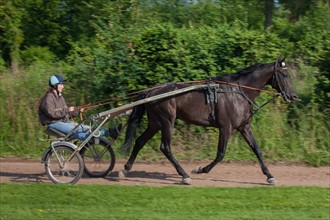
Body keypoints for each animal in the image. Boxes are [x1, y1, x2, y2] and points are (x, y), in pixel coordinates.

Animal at [120, 56, 298, 184]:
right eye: (284, 74)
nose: (293, 96)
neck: (237, 92)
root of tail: (151, 91)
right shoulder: (226, 127)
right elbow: (221, 154)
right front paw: (200, 169)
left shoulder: (244, 126)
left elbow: (257, 149)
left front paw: (270, 176)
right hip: (167, 121)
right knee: (165, 147)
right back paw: (184, 175)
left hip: (155, 123)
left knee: (140, 141)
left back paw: (125, 169)